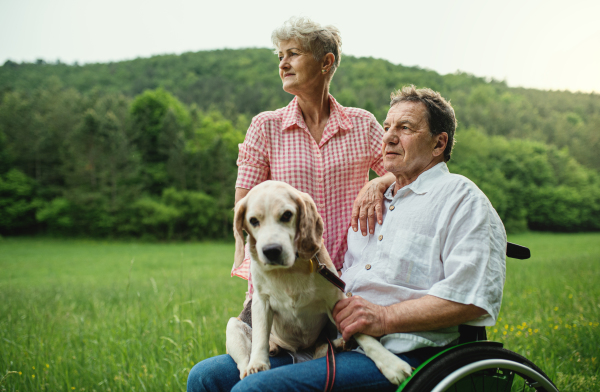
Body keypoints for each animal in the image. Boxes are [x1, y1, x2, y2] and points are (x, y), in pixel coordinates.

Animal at [225, 182, 412, 384]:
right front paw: (258, 364)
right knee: (244, 361)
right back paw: (265, 353)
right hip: (233, 326)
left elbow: (362, 333)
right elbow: (260, 336)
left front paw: (391, 363)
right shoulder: (261, 302)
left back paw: (340, 343)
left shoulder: (337, 301)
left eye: (287, 215)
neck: (289, 271)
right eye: (253, 221)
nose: (271, 251)